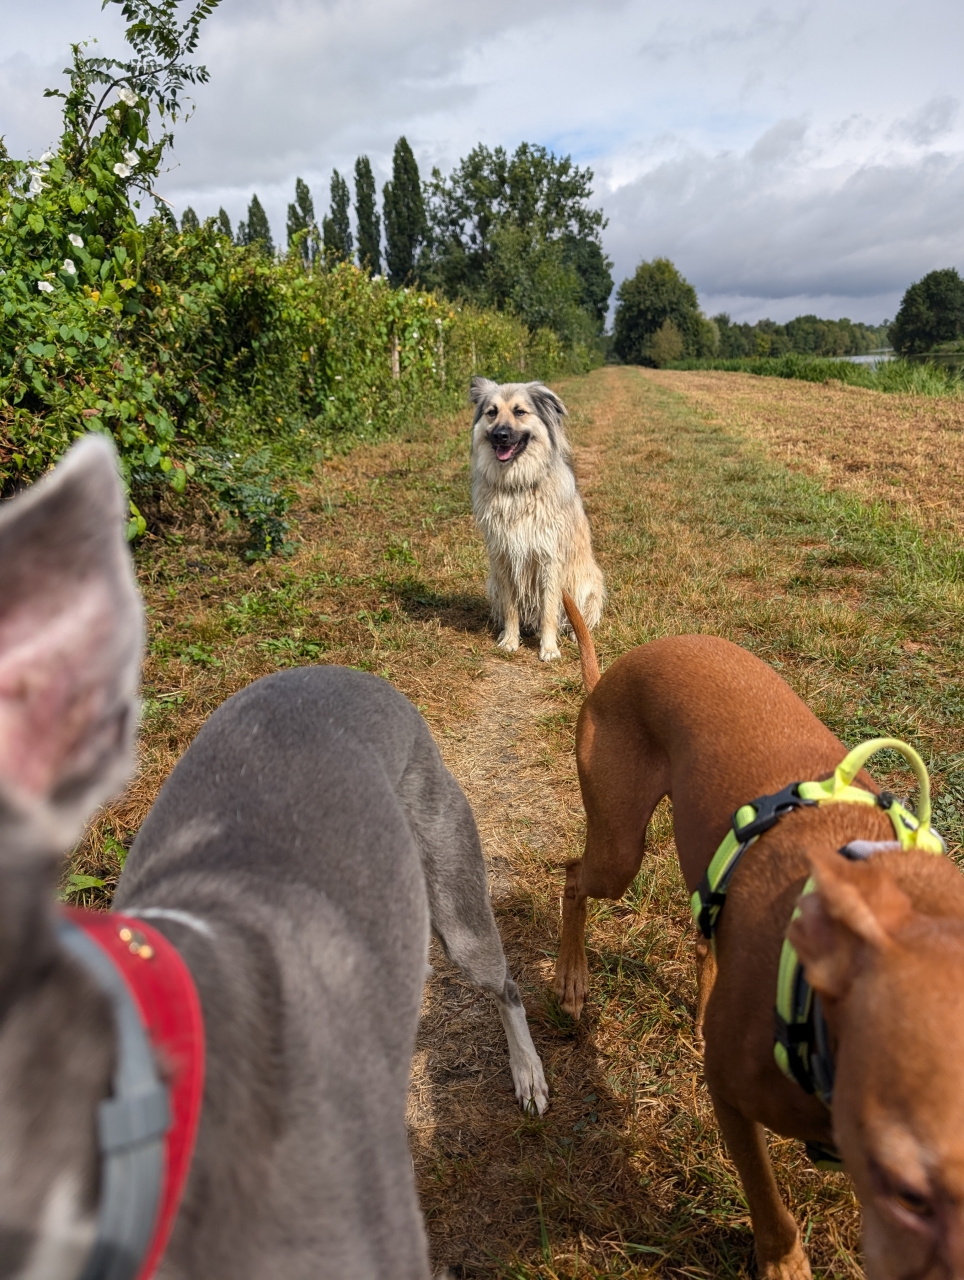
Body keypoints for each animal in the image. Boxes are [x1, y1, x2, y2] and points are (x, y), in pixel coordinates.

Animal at [469, 377, 604, 662]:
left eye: (520, 411)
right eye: (492, 412)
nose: (500, 435)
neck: (517, 487)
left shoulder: (549, 559)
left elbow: (549, 611)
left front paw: (549, 648)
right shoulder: (504, 557)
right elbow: (511, 608)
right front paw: (510, 640)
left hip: (585, 582)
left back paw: (575, 634)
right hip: (493, 584)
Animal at [554, 597, 964, 1280]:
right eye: (911, 1192)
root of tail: (617, 666)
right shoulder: (728, 1092)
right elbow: (768, 1201)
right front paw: (783, 1262)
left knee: (700, 933)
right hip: (618, 848)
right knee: (572, 877)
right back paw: (571, 978)